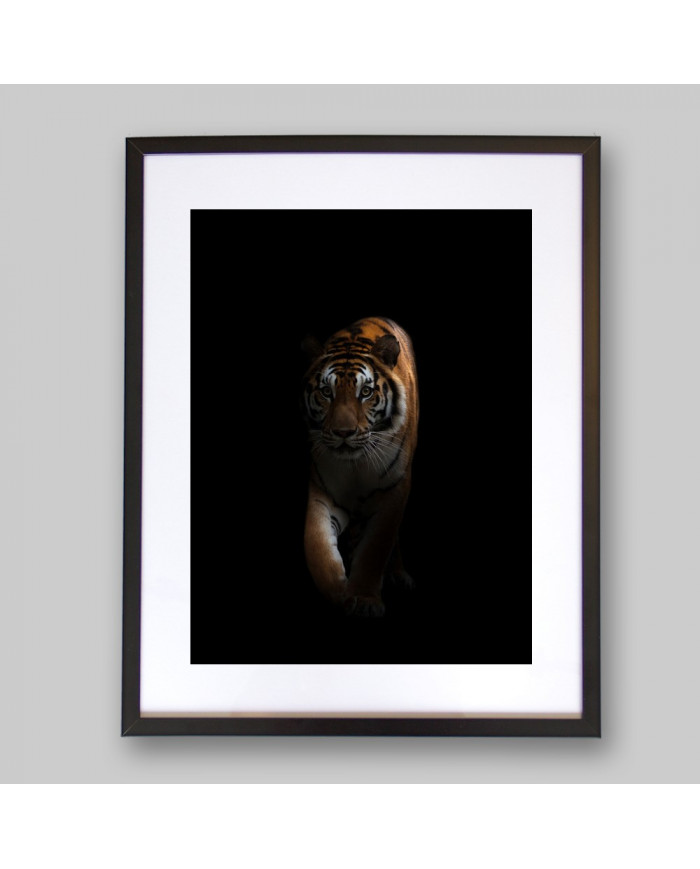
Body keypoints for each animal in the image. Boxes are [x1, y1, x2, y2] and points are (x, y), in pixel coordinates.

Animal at [301, 317, 419, 617]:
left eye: (365, 392)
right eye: (326, 392)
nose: (344, 432)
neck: (354, 465)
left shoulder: (393, 490)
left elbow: (375, 548)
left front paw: (364, 599)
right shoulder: (322, 492)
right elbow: (317, 547)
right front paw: (339, 593)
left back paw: (398, 575)